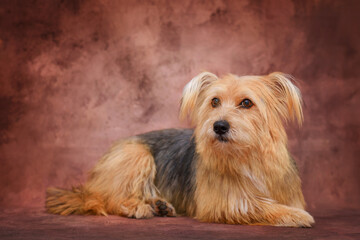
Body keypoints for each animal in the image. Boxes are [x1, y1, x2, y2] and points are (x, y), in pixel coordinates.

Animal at [45, 71, 316, 227]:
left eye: (247, 103)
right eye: (214, 101)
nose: (219, 126)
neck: (247, 156)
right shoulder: (222, 203)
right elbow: (257, 205)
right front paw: (296, 216)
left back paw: (160, 205)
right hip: (136, 155)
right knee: (110, 199)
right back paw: (139, 207)